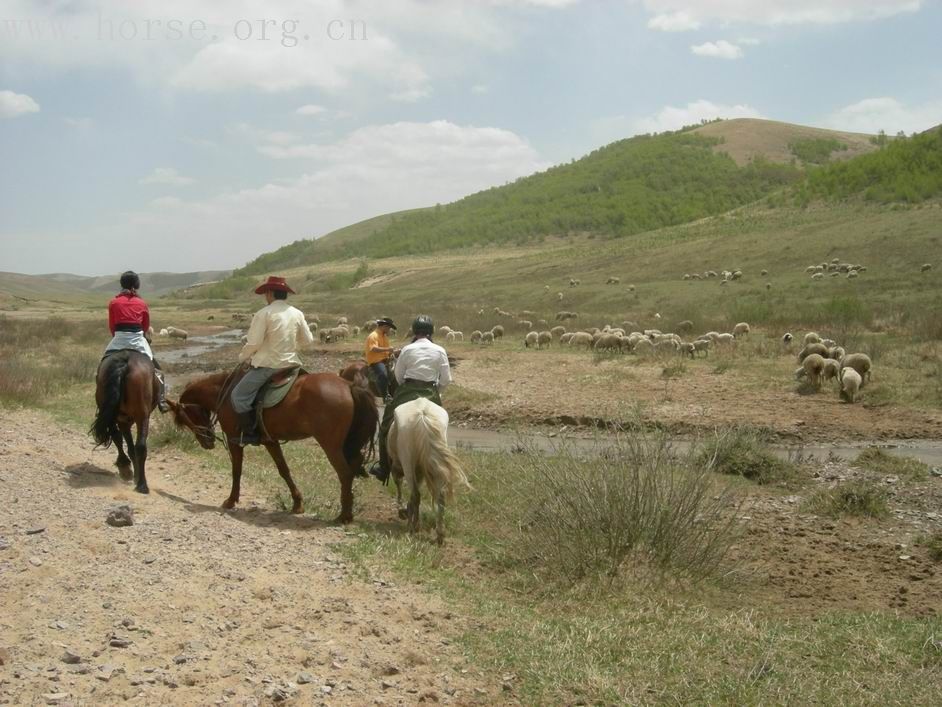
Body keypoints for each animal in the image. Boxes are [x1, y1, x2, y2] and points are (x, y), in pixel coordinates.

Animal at [90, 352, 157, 496]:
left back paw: (129, 472)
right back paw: (141, 483)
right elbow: (131, 447)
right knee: (140, 446)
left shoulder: (123, 421)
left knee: (118, 437)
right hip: (141, 417)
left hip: (114, 414)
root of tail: (125, 362)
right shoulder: (127, 421)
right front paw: (135, 475)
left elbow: (125, 444)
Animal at [168, 370, 378, 520]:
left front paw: (231, 500)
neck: (224, 392)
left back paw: (344, 516)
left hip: (331, 446)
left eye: (185, 418)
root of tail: (349, 385)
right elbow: (283, 470)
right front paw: (297, 503)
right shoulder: (270, 441)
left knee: (345, 474)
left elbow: (237, 470)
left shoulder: (234, 439)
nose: (207, 442)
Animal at [388, 402, 472, 544]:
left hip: (407, 462)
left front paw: (403, 511)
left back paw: (414, 527)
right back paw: (439, 534)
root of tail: (422, 415)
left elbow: (400, 485)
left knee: (416, 494)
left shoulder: (398, 467)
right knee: (440, 496)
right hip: (437, 465)